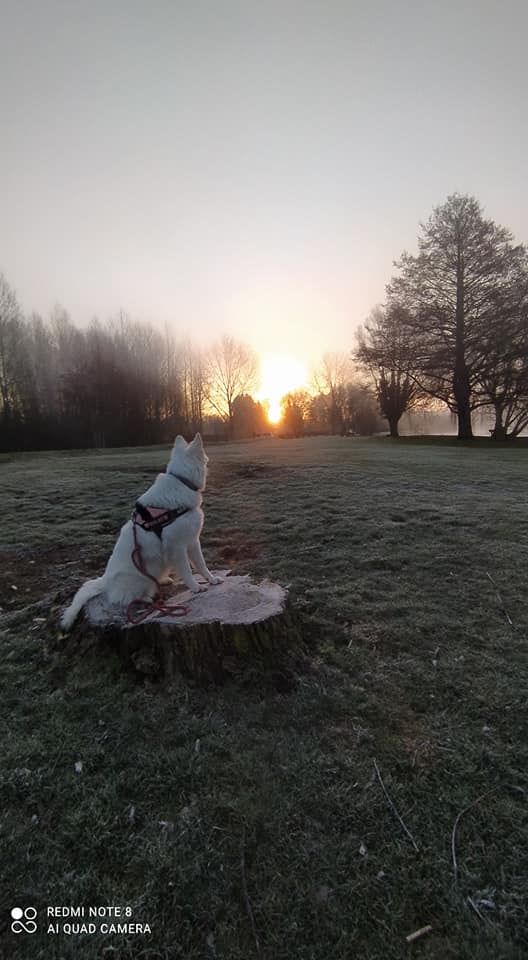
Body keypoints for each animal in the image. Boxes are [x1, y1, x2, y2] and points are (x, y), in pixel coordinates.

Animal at [60, 433, 221, 629]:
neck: (181, 481)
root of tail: (105, 582)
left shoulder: (192, 541)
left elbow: (202, 564)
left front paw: (211, 579)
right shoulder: (177, 547)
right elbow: (187, 570)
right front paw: (196, 587)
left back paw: (163, 580)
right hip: (140, 578)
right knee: (132, 598)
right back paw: (148, 598)